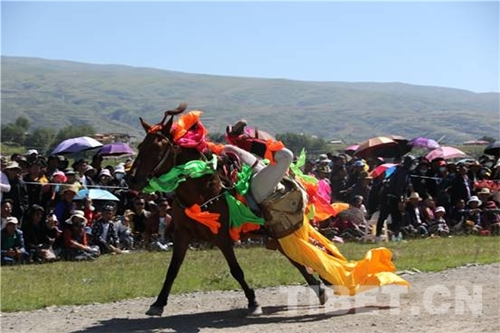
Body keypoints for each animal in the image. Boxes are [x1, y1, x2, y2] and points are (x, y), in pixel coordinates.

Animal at [126, 104, 328, 316]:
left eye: (156, 147)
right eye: (140, 147)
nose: (131, 179)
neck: (202, 192)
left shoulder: (221, 237)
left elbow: (236, 270)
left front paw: (253, 301)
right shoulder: (182, 234)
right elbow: (172, 269)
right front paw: (158, 303)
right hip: (278, 233)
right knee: (297, 257)